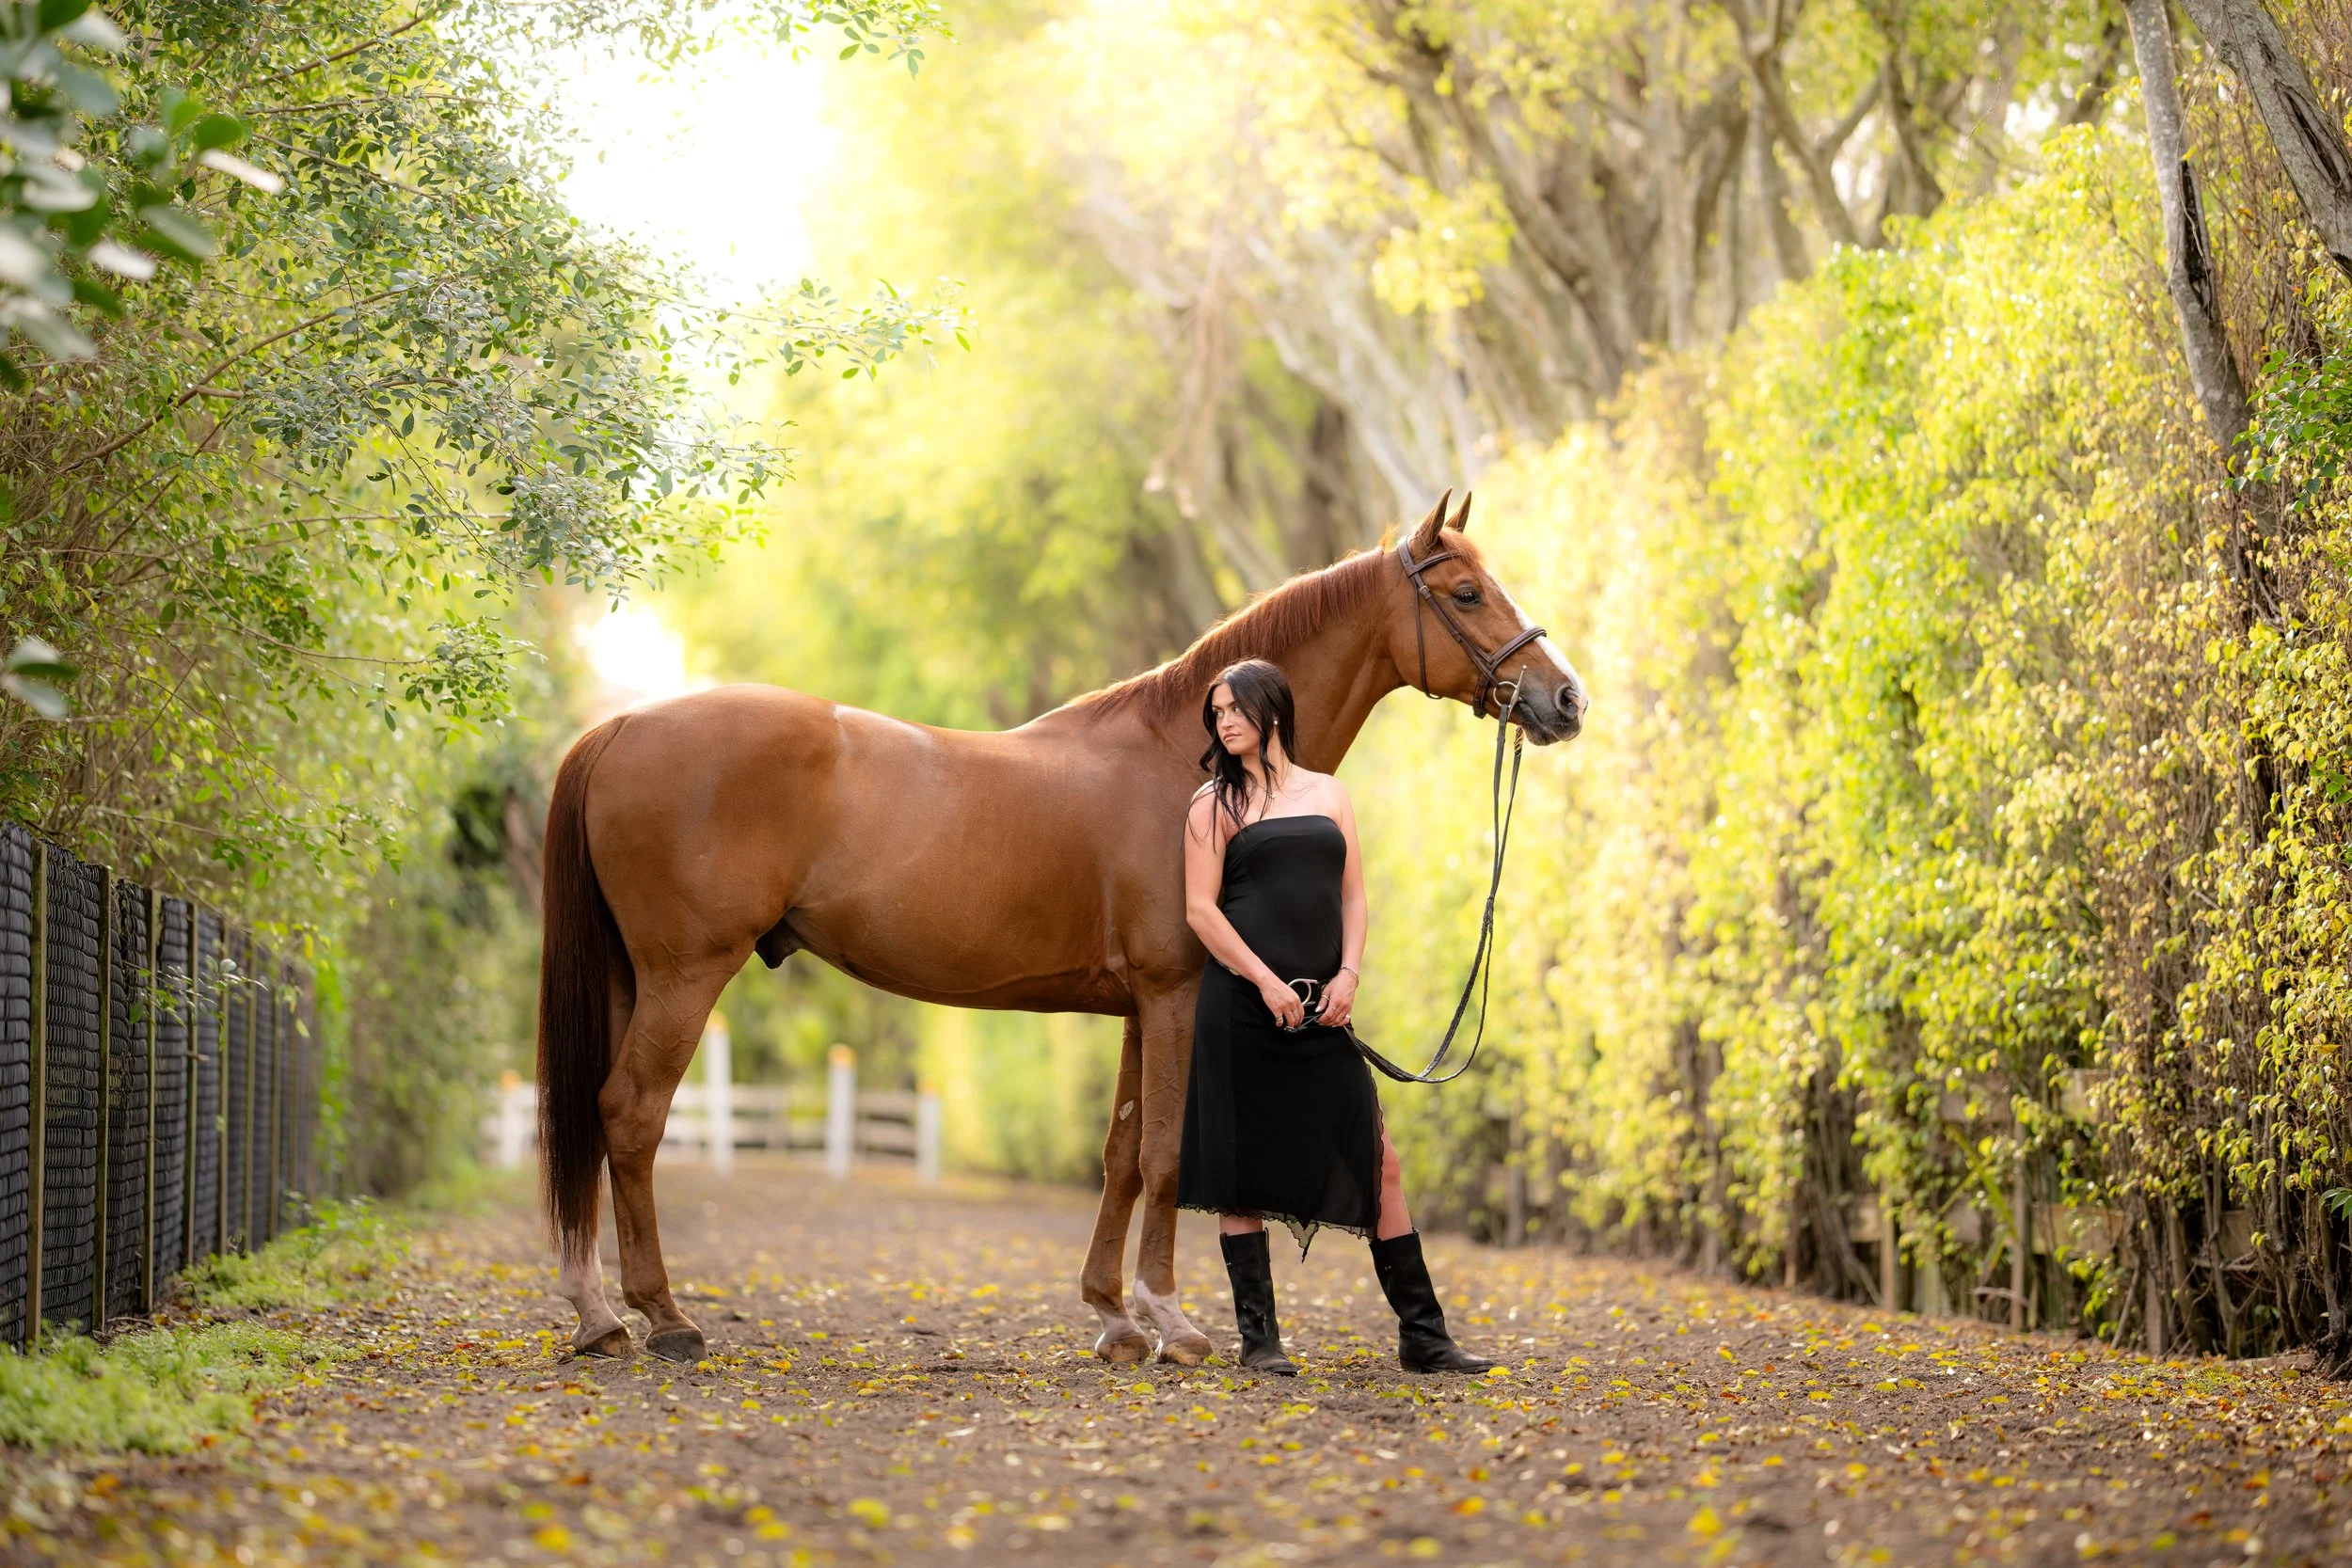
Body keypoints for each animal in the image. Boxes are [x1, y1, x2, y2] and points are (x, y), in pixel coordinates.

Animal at [536, 492, 1586, 1363]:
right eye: (1465, 591)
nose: (1564, 698)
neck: (1188, 756)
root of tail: (619, 727)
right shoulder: (1173, 993)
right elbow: (1163, 1152)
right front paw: (1171, 1321)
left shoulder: (1138, 1007)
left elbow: (1120, 1153)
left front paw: (1115, 1318)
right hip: (685, 974)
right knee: (631, 1113)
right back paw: (658, 1317)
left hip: (636, 977)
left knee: (599, 1115)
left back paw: (603, 1314)